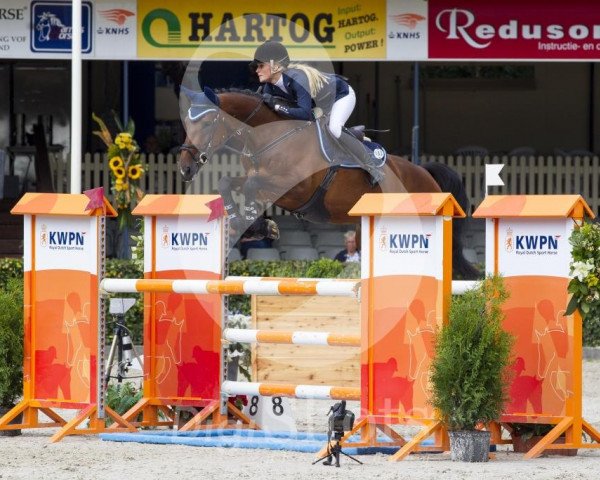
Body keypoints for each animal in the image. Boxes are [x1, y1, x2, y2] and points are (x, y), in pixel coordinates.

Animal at [177, 88, 478, 280]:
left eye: (206, 124)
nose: (185, 167)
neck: (269, 138)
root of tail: (426, 173)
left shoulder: (294, 188)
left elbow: (251, 187)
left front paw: (259, 226)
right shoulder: (262, 179)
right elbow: (228, 182)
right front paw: (252, 226)